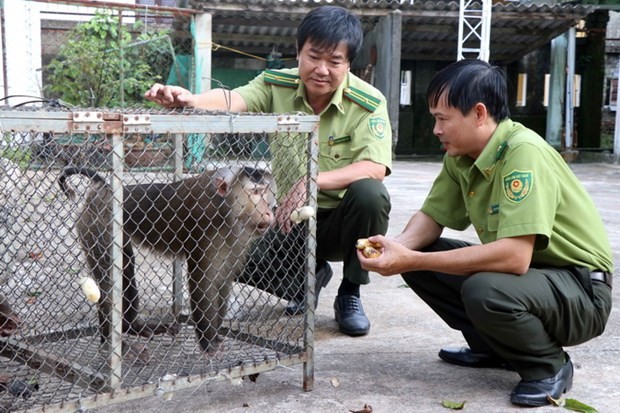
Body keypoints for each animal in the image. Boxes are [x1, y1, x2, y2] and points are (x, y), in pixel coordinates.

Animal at [58, 165, 276, 354]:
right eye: (255, 192)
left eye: (265, 191)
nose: (268, 211)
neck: (226, 206)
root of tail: (103, 193)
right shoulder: (206, 224)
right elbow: (203, 279)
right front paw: (207, 341)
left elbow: (223, 278)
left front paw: (214, 336)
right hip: (98, 226)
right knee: (110, 278)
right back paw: (111, 343)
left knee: (126, 267)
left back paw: (132, 327)